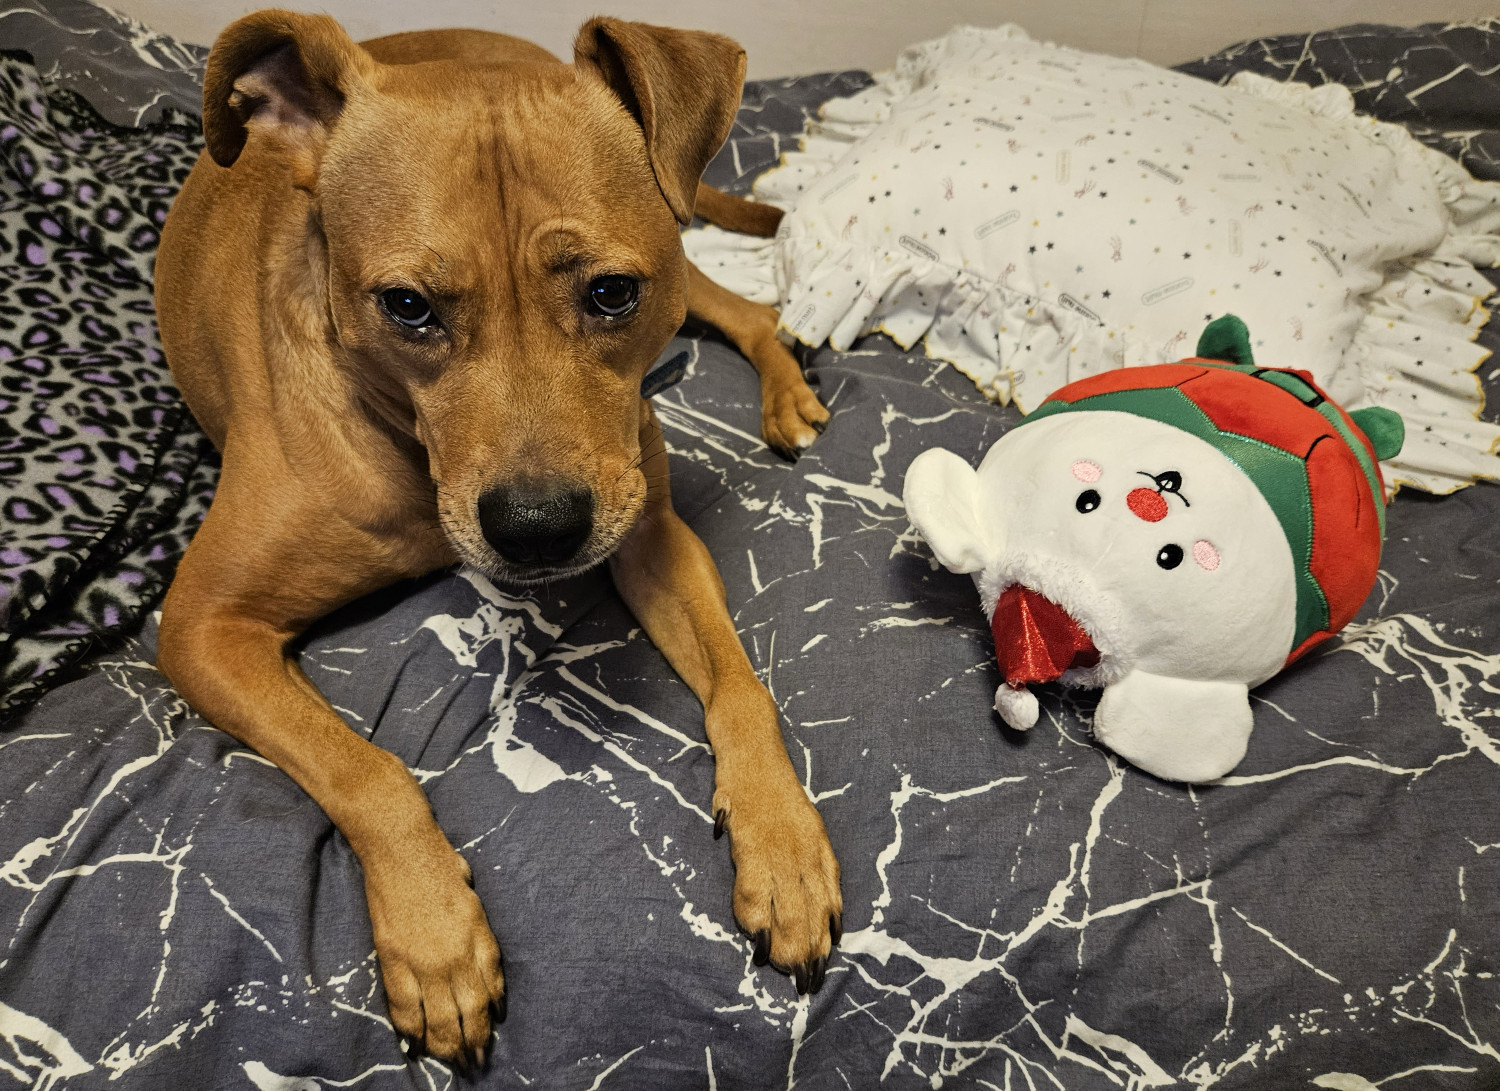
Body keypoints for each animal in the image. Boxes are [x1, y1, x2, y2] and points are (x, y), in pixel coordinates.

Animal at [153, 8, 846, 1068]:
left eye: (611, 293)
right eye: (407, 307)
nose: (538, 530)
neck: (406, 445)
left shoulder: (652, 535)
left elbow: (741, 688)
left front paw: (785, 845)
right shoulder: (202, 626)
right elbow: (367, 769)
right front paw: (437, 936)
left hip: (684, 261)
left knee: (749, 309)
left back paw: (787, 391)